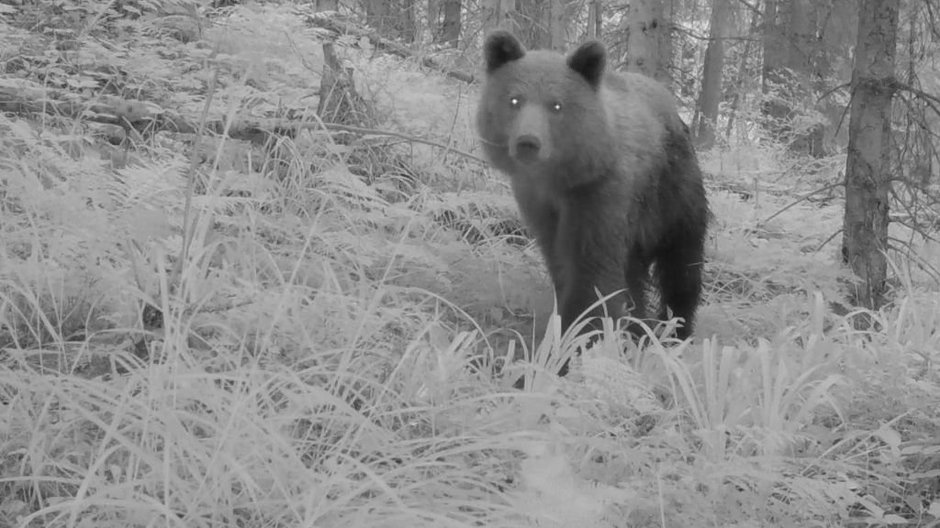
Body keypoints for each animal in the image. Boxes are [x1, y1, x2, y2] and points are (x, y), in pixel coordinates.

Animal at [478, 31, 704, 370]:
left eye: (556, 105)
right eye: (514, 99)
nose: (528, 141)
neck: (560, 181)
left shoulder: (598, 197)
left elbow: (592, 277)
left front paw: (564, 353)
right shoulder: (539, 205)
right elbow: (562, 265)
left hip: (673, 194)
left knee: (682, 265)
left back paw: (674, 332)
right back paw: (637, 329)